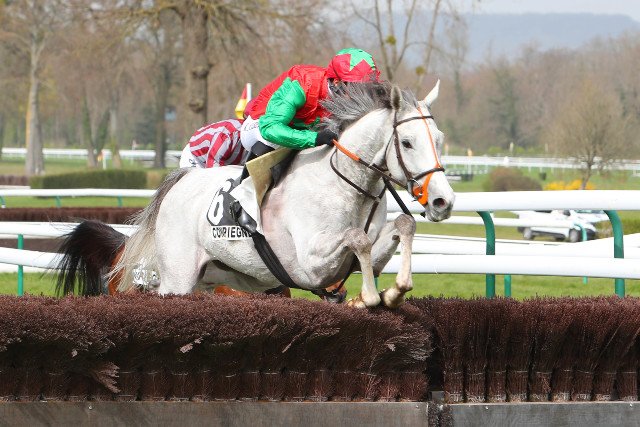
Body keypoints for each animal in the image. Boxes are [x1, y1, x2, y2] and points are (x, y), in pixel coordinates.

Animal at [58, 81, 454, 308]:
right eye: (407, 142)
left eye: (439, 140)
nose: (442, 201)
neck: (346, 185)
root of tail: (178, 182)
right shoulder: (310, 264)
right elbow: (357, 238)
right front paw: (370, 297)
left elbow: (402, 226)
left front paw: (394, 290)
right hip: (177, 279)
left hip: (215, 279)